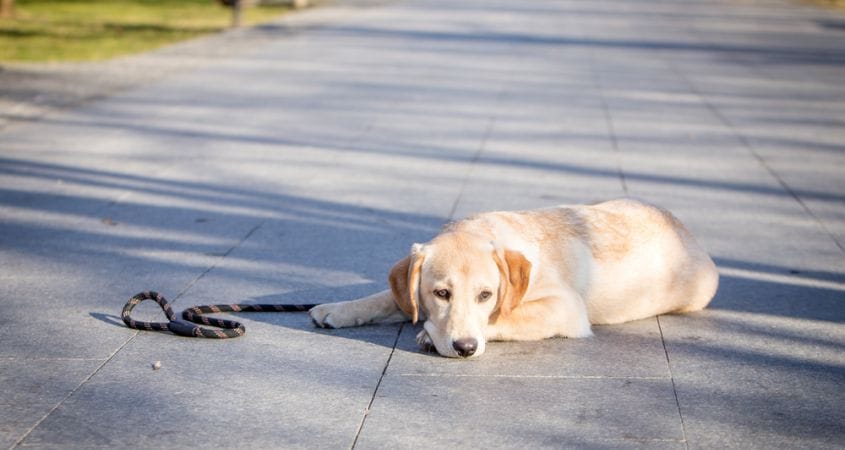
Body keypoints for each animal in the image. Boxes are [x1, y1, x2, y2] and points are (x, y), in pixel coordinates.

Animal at [310, 198, 720, 358]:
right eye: (441, 293)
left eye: (486, 295)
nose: (465, 348)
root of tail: (685, 229)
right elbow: (386, 296)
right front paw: (337, 308)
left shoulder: (565, 308)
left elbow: (509, 316)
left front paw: (430, 334)